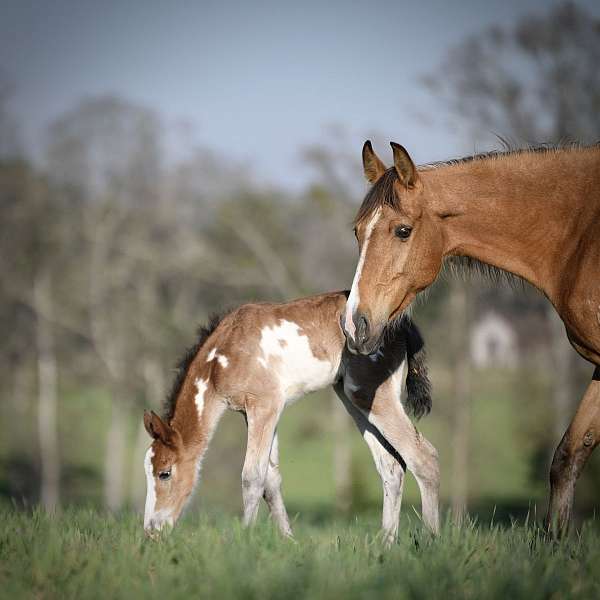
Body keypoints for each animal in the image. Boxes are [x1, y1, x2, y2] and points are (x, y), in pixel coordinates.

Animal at [143, 290, 438, 540]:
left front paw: (245, 539)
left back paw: (430, 541)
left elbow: (252, 476)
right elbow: (271, 480)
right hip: (353, 398)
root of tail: (401, 324)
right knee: (391, 466)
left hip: (372, 395)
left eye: (164, 473)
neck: (221, 359)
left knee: (423, 456)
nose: (151, 530)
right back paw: (385, 545)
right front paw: (288, 543)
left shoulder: (265, 404)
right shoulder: (256, 412)